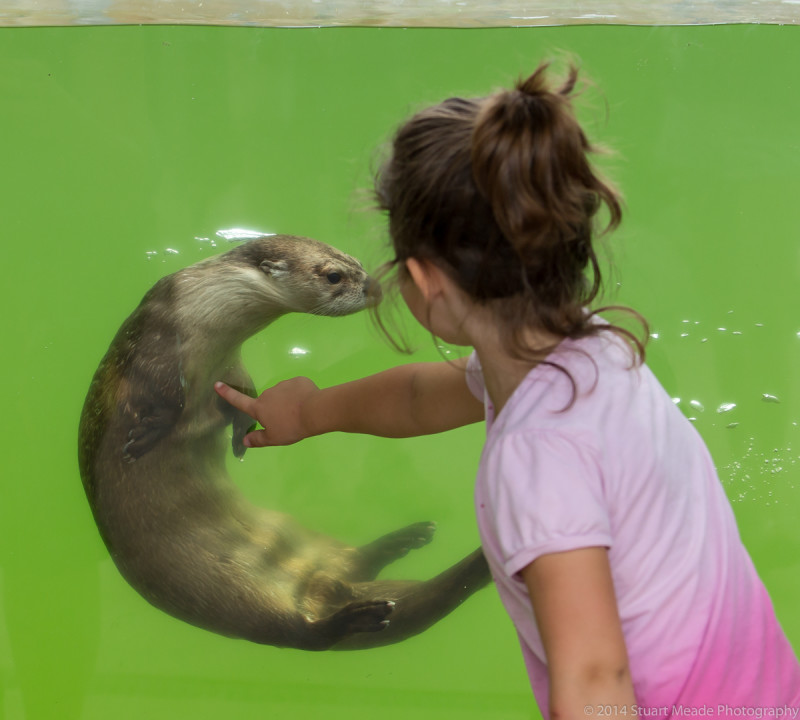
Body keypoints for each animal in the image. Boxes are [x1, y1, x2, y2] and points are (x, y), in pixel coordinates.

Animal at [78, 234, 490, 650]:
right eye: (334, 275)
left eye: (358, 262)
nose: (374, 287)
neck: (205, 315)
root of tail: (324, 585)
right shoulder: (156, 349)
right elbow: (161, 398)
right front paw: (142, 435)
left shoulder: (230, 364)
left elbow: (245, 392)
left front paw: (242, 431)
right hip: (231, 595)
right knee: (304, 633)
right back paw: (363, 612)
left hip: (300, 546)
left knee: (348, 573)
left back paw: (403, 544)